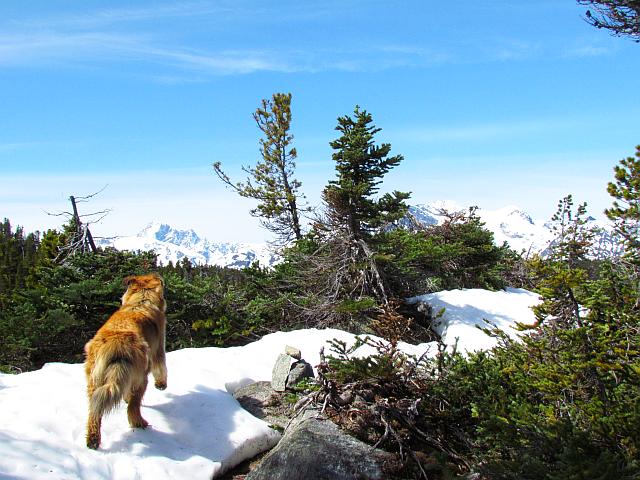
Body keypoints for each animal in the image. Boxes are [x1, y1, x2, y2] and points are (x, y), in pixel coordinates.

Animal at [84, 274, 168, 450]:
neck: (141, 300)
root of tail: (117, 346)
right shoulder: (159, 348)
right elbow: (161, 367)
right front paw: (161, 385)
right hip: (140, 377)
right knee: (133, 407)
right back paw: (140, 423)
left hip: (94, 380)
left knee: (94, 411)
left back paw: (93, 440)